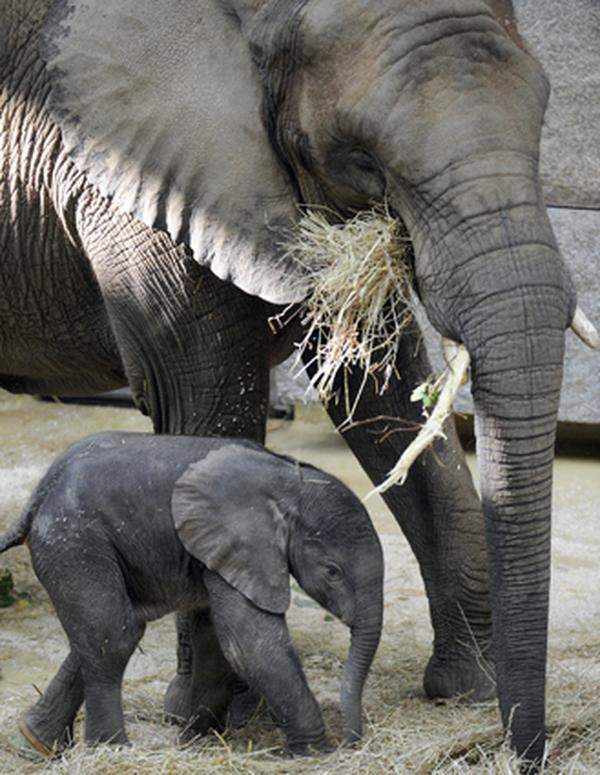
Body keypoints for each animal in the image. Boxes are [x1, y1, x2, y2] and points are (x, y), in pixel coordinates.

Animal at [1, 436, 384, 756]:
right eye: (332, 572)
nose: (352, 742)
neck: (293, 483)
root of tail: (39, 494)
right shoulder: (240, 544)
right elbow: (249, 645)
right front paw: (317, 752)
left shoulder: (217, 553)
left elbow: (216, 640)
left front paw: (195, 738)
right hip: (76, 540)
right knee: (115, 634)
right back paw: (111, 749)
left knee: (109, 632)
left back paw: (34, 744)